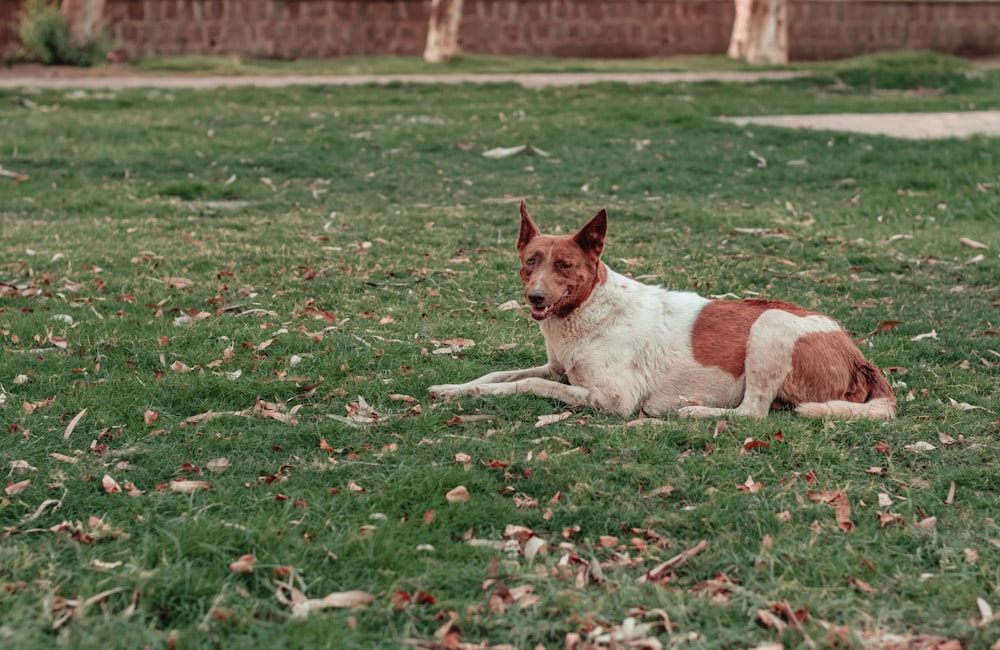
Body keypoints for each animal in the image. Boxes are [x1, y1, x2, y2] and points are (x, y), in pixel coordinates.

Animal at [430, 200, 900, 418]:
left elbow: (527, 385)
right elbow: (499, 375)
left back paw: (690, 412)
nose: (536, 298)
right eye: (531, 262)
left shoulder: (613, 398)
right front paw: (454, 388)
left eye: (564, 265)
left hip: (770, 325)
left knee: (752, 413)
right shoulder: (557, 368)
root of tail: (859, 357)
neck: (591, 310)